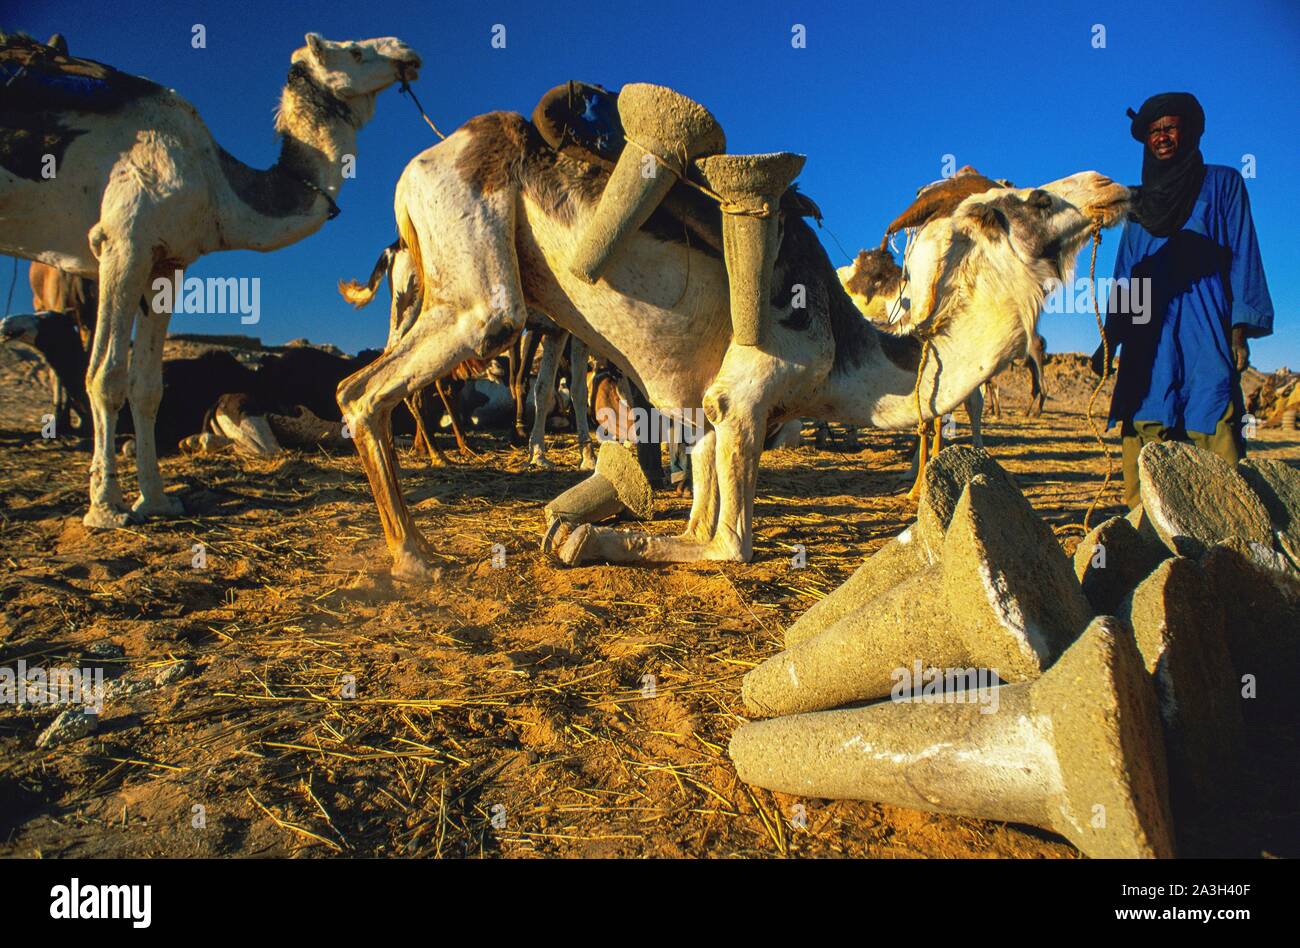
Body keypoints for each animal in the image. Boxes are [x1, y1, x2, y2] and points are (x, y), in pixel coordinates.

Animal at [0, 31, 421, 525]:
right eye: (355, 51)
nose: (408, 54)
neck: (217, 180)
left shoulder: (167, 261)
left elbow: (146, 386)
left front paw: (157, 501)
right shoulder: (123, 242)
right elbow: (106, 375)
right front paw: (106, 509)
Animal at [335, 107, 1128, 577]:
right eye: (1028, 200)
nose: (1108, 183)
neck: (850, 359)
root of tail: (429, 157)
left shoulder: (713, 413)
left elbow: (698, 508)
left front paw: (579, 524)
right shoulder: (746, 397)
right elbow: (725, 546)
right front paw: (576, 536)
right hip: (481, 302)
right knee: (362, 389)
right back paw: (415, 557)